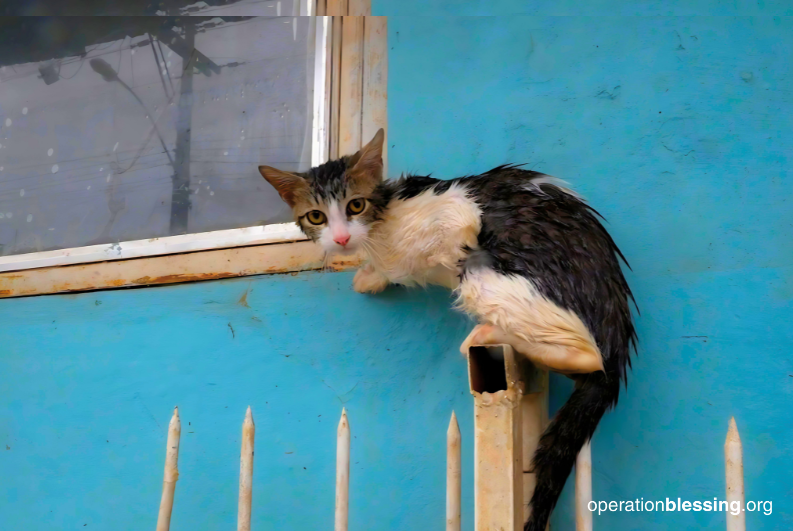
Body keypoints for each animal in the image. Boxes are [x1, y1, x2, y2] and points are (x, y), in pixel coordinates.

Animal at [260, 130, 636, 531]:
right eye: (316, 216)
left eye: (355, 206)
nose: (342, 239)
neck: (382, 227)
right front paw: (370, 277)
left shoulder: (455, 209)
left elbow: (451, 233)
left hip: (489, 276)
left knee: (585, 355)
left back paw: (490, 334)